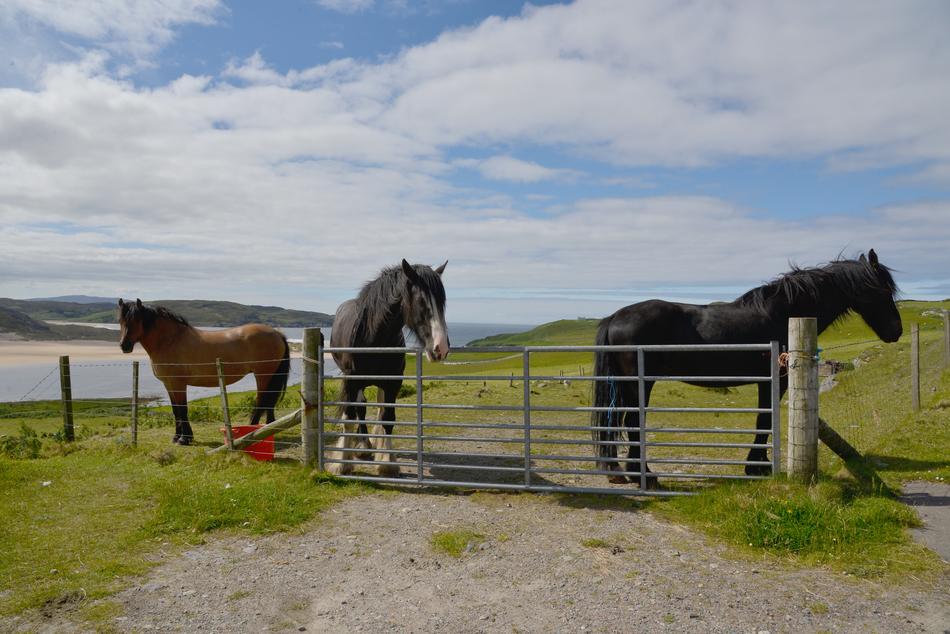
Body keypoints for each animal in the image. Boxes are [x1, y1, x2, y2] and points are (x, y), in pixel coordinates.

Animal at [117, 299, 290, 445]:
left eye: (136, 320)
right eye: (121, 321)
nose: (124, 346)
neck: (170, 341)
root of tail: (277, 333)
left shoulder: (178, 384)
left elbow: (182, 409)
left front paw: (184, 439)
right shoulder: (169, 384)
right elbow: (175, 410)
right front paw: (177, 437)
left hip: (263, 375)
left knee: (262, 400)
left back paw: (251, 432)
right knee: (268, 401)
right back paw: (268, 427)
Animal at [326, 259, 449, 477]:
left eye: (442, 302)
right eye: (422, 301)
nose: (440, 348)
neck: (374, 338)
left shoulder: (393, 382)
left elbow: (388, 418)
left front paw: (387, 463)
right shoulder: (352, 381)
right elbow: (350, 415)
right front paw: (341, 463)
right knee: (360, 407)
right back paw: (363, 446)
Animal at [591, 250, 902, 488]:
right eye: (884, 290)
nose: (896, 331)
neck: (783, 314)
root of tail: (615, 316)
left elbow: (763, 420)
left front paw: (757, 465)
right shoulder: (774, 380)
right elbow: (764, 421)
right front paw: (757, 467)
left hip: (625, 385)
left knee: (618, 420)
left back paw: (621, 472)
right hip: (639, 384)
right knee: (633, 422)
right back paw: (644, 475)